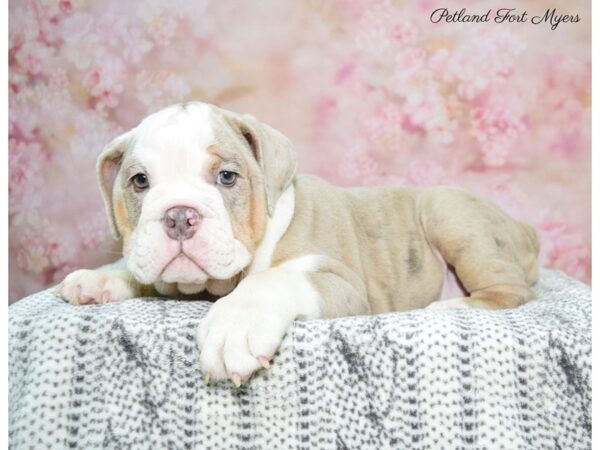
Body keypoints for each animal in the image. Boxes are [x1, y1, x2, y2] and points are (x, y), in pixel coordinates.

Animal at [57, 102, 540, 386]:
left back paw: (450, 305)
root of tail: (523, 228)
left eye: (226, 177)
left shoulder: (342, 283)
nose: (178, 215)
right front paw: (98, 280)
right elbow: (141, 272)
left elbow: (276, 279)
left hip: (449, 211)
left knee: (511, 291)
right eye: (139, 182)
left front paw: (236, 324)